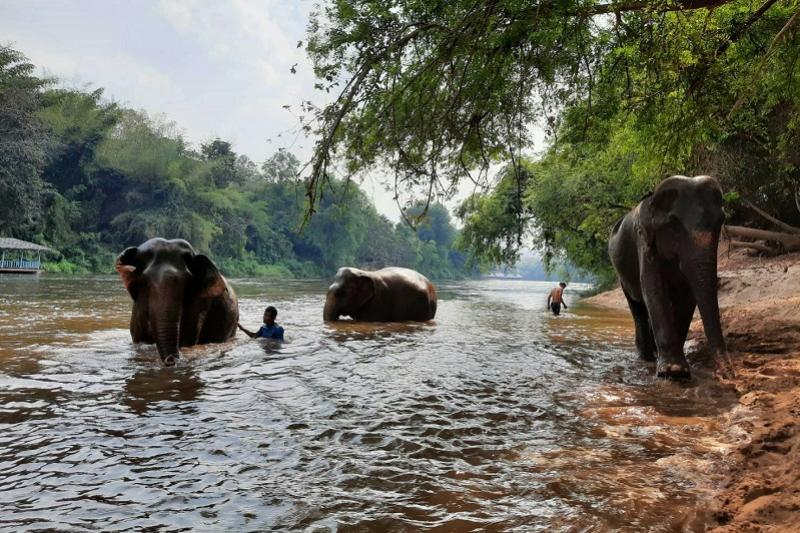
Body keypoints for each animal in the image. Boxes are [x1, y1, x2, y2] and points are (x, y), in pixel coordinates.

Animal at [608, 175, 733, 379]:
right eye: (674, 225)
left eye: (720, 222)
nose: (729, 375)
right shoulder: (643, 241)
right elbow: (653, 287)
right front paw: (673, 371)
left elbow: (688, 295)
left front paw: (677, 369)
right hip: (621, 276)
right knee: (637, 307)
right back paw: (646, 356)